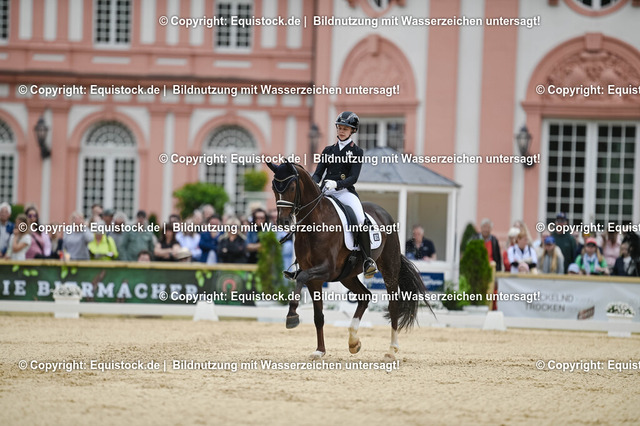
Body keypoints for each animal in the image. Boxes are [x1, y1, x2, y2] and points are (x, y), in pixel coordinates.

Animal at [266, 161, 431, 360]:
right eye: (274, 188)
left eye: (291, 187)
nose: (283, 221)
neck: (315, 222)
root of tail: (383, 213)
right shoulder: (315, 279)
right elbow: (318, 316)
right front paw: (320, 350)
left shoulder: (326, 269)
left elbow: (301, 277)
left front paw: (292, 316)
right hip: (348, 276)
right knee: (364, 296)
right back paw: (353, 342)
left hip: (389, 269)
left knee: (393, 305)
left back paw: (391, 350)